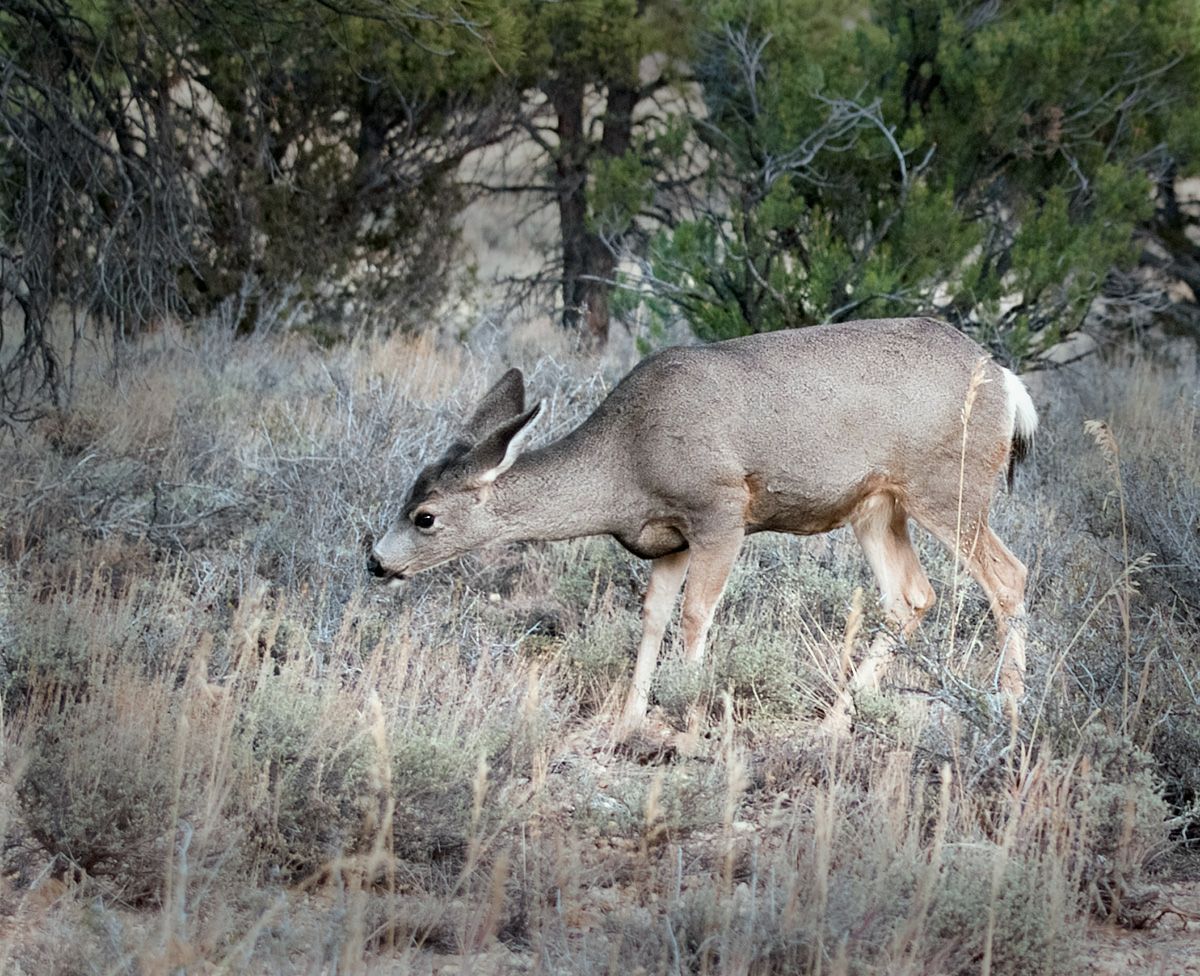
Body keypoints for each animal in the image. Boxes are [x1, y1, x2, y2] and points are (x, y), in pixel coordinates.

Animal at [369, 316, 1036, 734]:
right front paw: (630, 719)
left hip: (948, 488)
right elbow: (652, 613)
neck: (628, 463)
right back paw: (833, 722)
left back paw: (1008, 713)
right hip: (878, 505)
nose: (376, 561)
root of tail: (1005, 380)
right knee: (910, 595)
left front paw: (688, 722)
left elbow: (695, 614)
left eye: (425, 516)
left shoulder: (720, 510)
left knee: (1008, 577)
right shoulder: (670, 537)